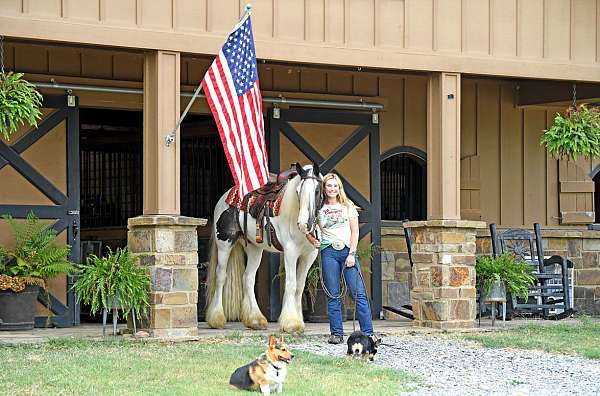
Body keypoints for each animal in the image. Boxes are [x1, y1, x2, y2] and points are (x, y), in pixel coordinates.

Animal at [206, 162, 322, 332]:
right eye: (298, 191)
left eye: (317, 190)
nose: (303, 224)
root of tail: (225, 197)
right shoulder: (290, 252)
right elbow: (291, 284)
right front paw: (291, 323)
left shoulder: (309, 255)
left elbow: (300, 286)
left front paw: (298, 320)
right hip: (224, 244)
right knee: (221, 276)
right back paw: (217, 319)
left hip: (254, 249)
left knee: (248, 278)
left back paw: (255, 320)